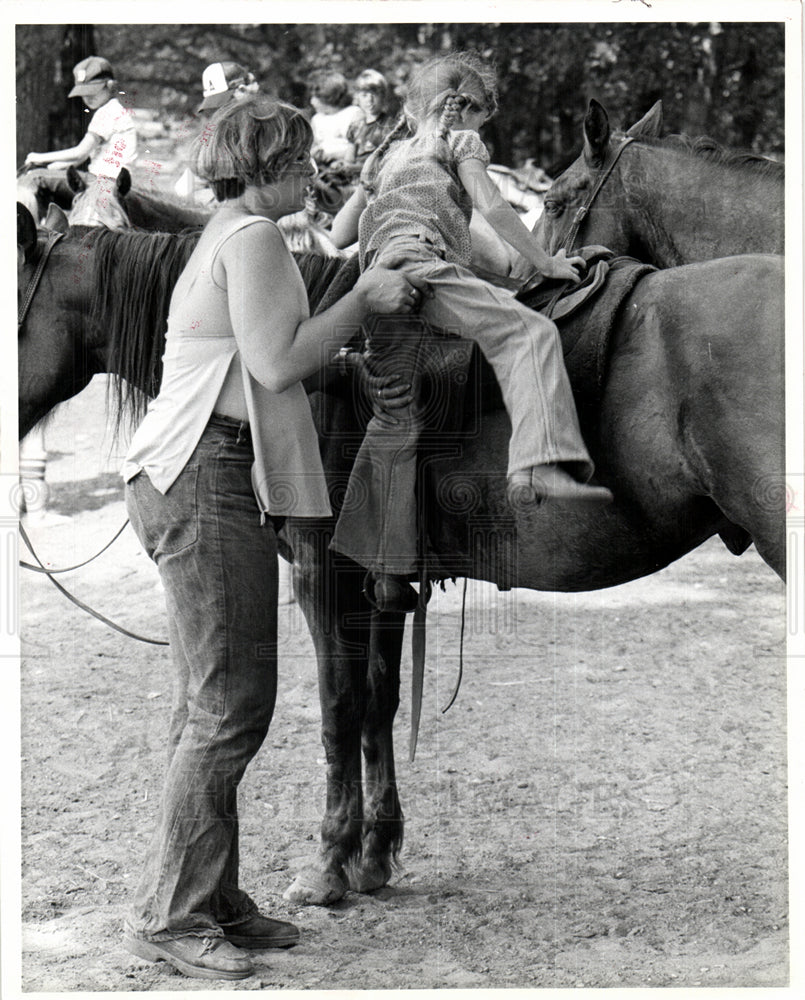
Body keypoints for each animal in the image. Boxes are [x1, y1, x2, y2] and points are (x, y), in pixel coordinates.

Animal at [15, 205, 784, 908]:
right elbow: (378, 703)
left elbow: (339, 705)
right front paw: (375, 854)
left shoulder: (322, 572)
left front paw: (328, 863)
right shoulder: (378, 582)